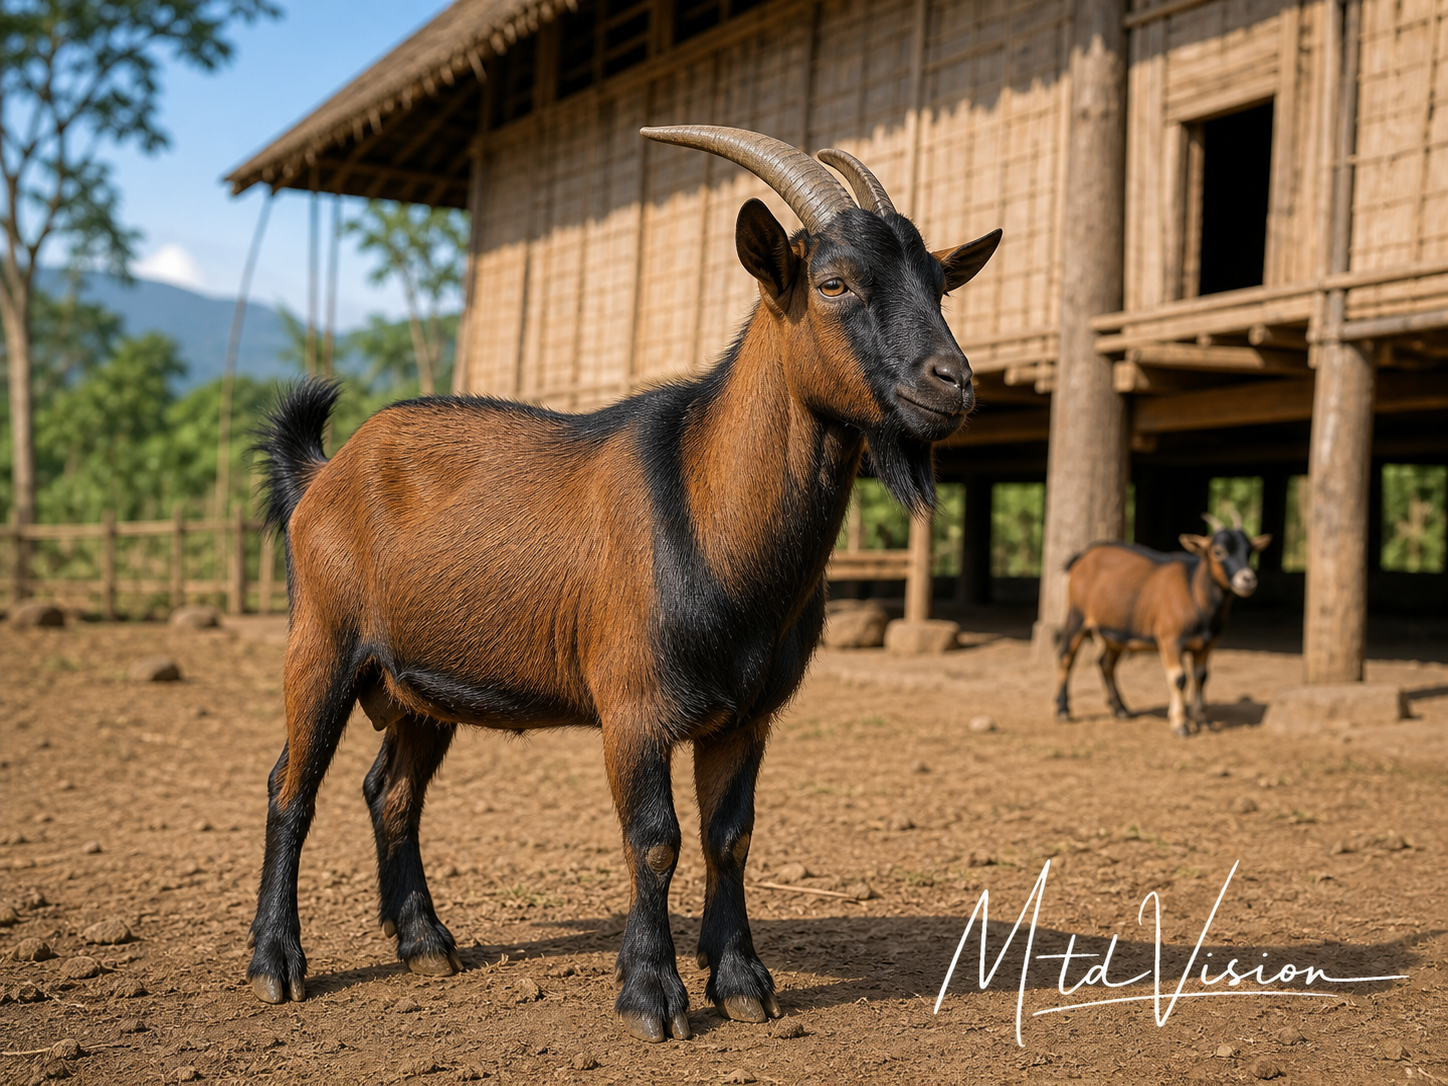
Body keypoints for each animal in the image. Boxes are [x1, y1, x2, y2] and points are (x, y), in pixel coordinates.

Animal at [246, 125, 1002, 1043]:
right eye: (833, 283)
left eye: (940, 284)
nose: (953, 381)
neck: (709, 512)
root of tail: (325, 471)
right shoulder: (634, 707)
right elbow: (654, 838)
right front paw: (652, 994)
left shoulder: (747, 716)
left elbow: (730, 836)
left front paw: (742, 981)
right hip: (320, 642)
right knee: (292, 788)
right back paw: (276, 964)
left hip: (422, 682)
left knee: (390, 790)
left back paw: (425, 941)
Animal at [1054, 513, 1271, 736]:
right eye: (1218, 551)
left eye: (1250, 551)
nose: (1247, 579)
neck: (1194, 592)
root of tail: (1081, 558)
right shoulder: (1170, 638)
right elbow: (1179, 678)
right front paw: (1180, 724)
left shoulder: (1208, 644)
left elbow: (1202, 676)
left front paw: (1203, 720)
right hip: (1077, 614)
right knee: (1066, 657)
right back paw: (1063, 710)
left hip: (1115, 631)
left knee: (1105, 662)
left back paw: (1121, 709)